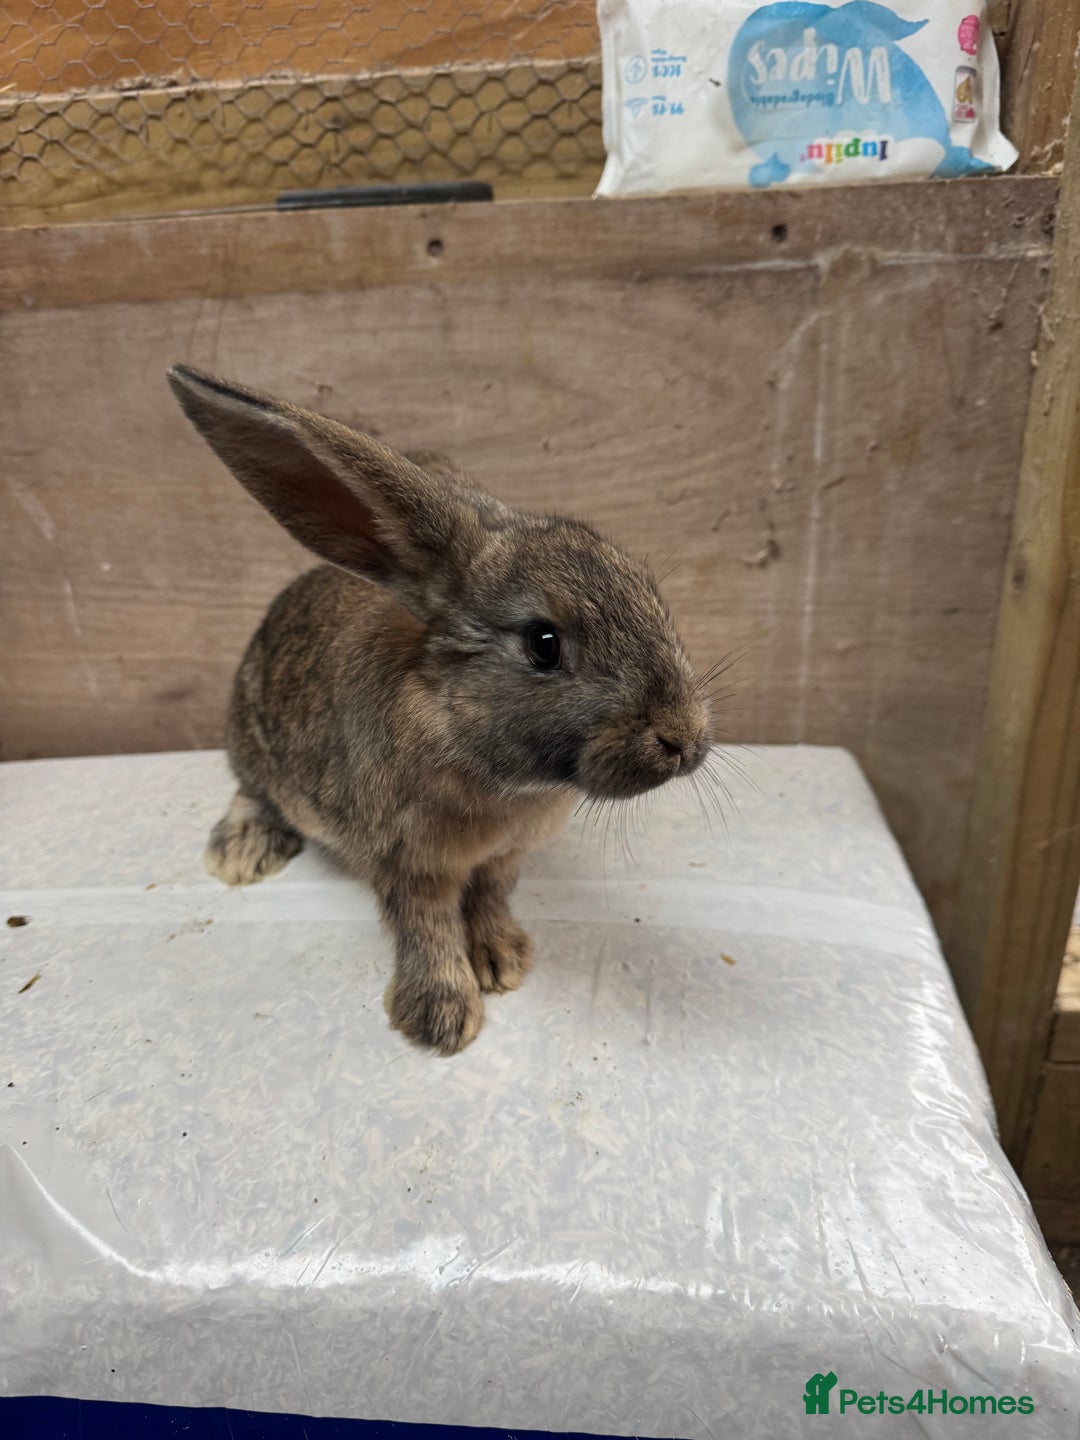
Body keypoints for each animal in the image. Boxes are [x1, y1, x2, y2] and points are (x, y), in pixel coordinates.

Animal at [167, 365, 712, 1055]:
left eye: (648, 591)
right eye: (543, 643)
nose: (685, 738)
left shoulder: (504, 858)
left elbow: (490, 900)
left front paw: (503, 959)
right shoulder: (407, 862)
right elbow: (426, 927)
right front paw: (442, 1016)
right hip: (251, 742)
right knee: (251, 790)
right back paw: (239, 853)